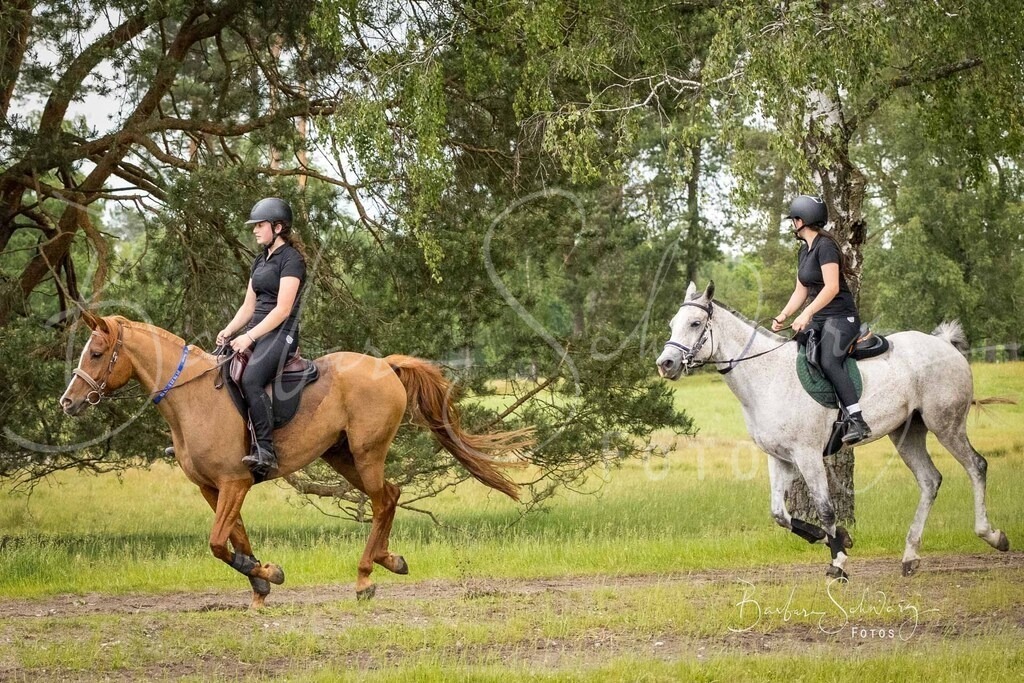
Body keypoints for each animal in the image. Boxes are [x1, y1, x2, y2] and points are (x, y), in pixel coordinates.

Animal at [59, 312, 531, 608]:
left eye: (96, 354)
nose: (68, 403)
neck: (193, 398)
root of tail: (384, 365)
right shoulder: (214, 488)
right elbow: (235, 537)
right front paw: (260, 582)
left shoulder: (234, 482)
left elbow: (218, 542)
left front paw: (265, 573)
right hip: (342, 456)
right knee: (392, 495)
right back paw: (389, 560)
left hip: (366, 453)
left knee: (383, 501)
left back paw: (365, 576)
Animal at [655, 281, 1010, 580]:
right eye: (672, 324)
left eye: (695, 324)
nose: (665, 364)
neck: (767, 377)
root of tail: (944, 344)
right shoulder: (780, 458)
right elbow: (779, 514)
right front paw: (841, 538)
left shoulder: (807, 455)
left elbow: (825, 509)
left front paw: (838, 563)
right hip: (906, 433)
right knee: (930, 480)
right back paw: (910, 556)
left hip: (945, 424)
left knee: (976, 466)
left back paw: (993, 535)